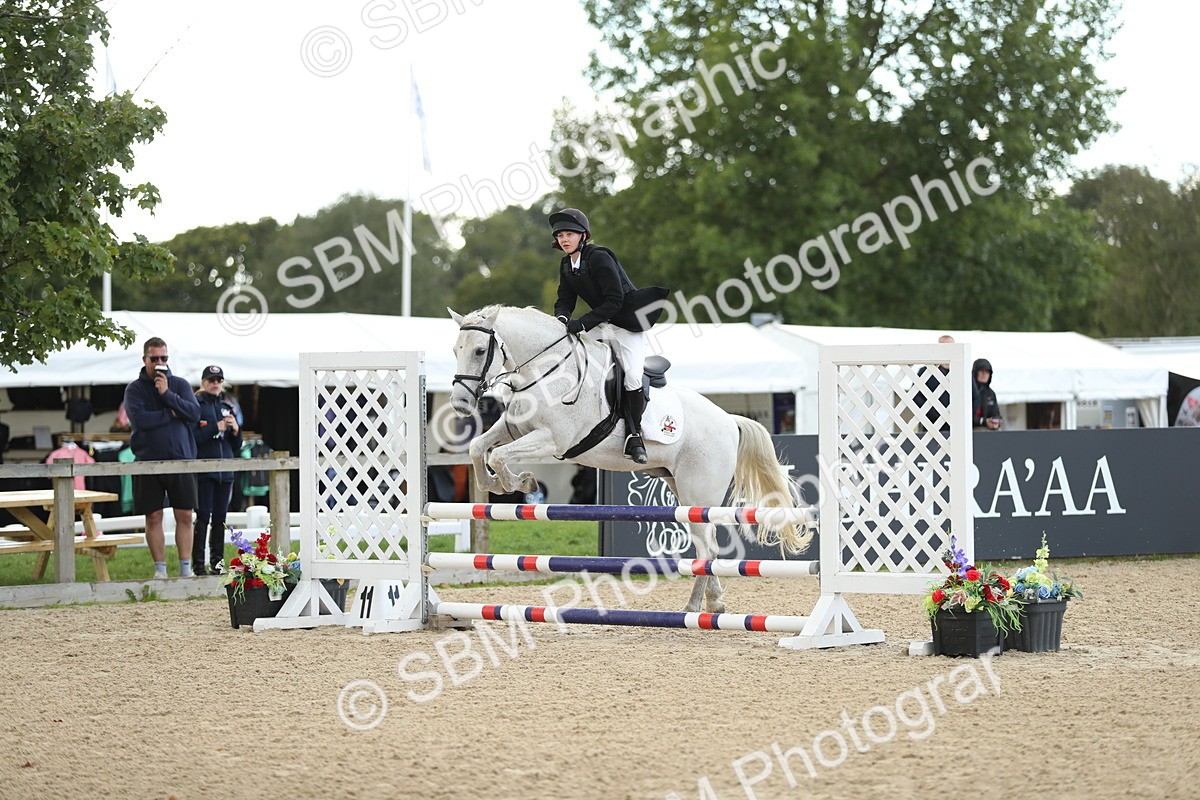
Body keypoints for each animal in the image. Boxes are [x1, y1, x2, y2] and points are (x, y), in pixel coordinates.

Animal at [446, 304, 816, 613]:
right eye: (455, 351)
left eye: (479, 351)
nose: (461, 405)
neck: (545, 371)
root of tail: (729, 420)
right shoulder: (514, 428)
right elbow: (479, 448)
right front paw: (496, 484)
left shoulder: (552, 439)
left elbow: (498, 456)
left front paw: (518, 482)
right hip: (682, 490)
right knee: (706, 547)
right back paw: (713, 603)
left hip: (698, 493)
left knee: (706, 550)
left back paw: (693, 608)